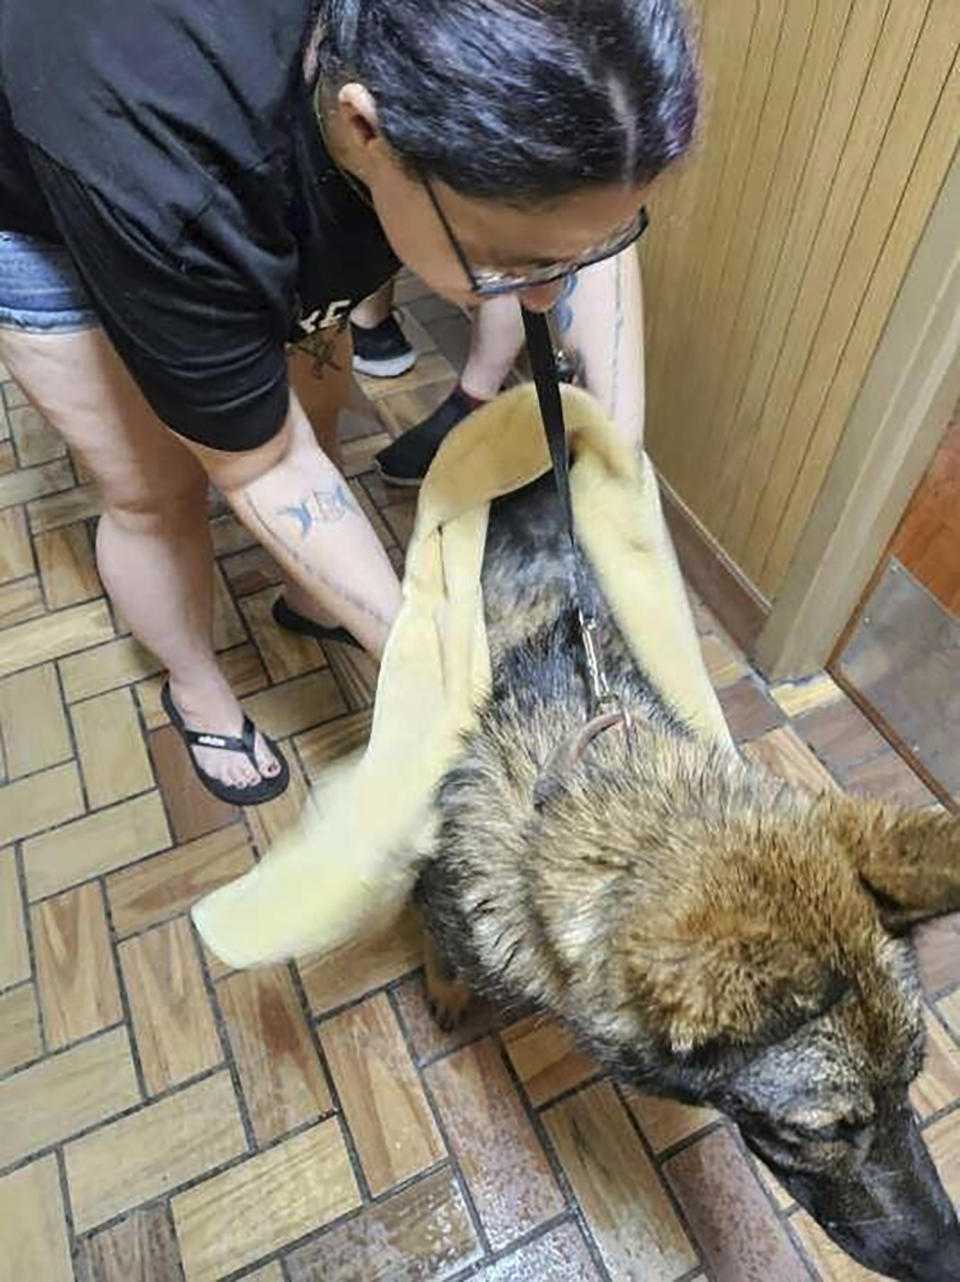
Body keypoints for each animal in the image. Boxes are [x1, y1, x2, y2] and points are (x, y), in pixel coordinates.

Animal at [412, 474, 958, 1282]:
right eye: (821, 1130)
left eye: (913, 1082)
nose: (954, 1256)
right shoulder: (439, 891)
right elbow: (439, 947)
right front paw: (446, 989)